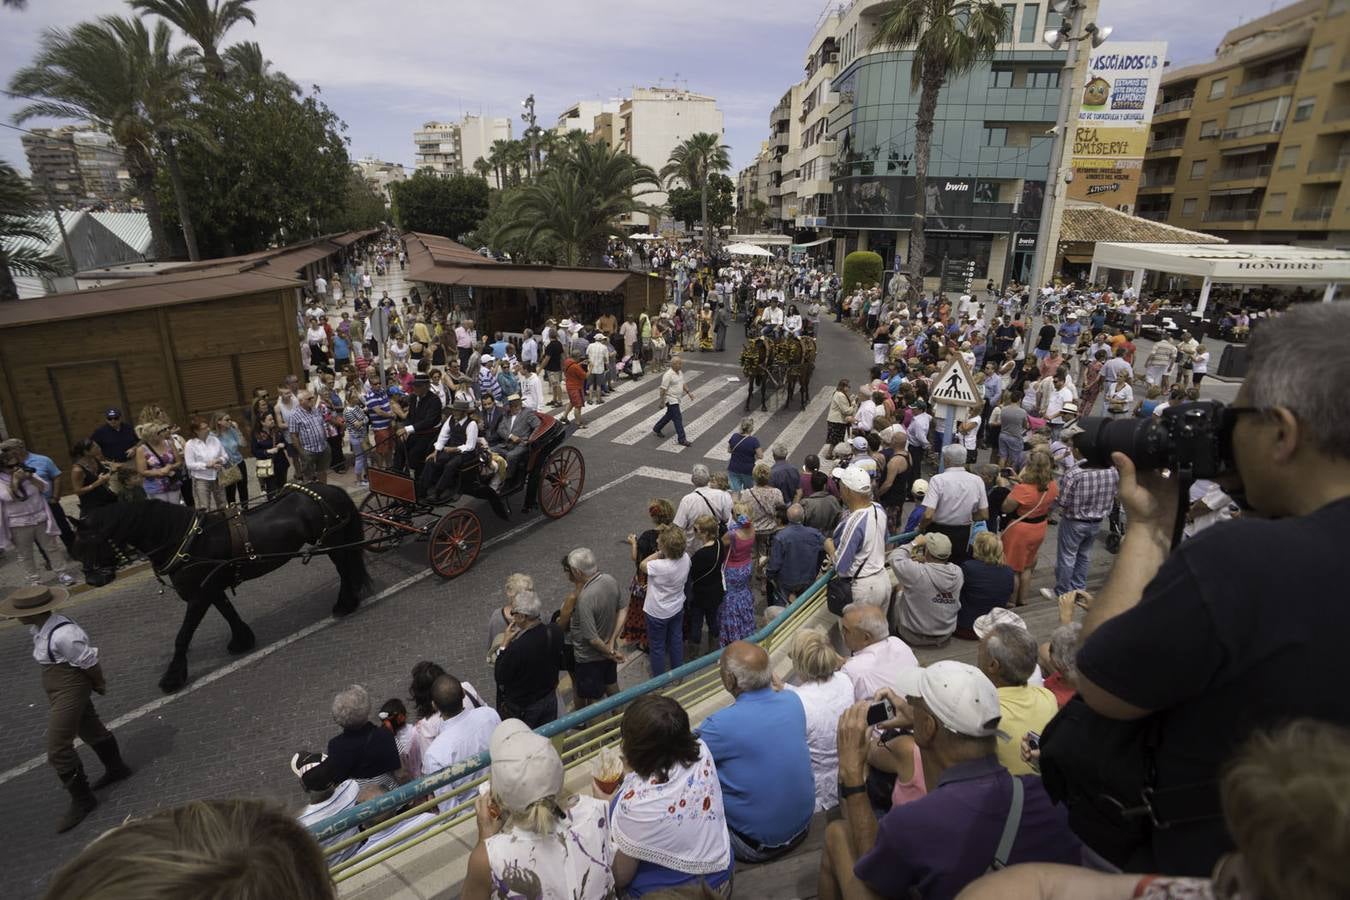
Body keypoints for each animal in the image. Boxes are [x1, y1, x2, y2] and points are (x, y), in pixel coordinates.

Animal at [73, 488, 369, 696]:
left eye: (92, 541)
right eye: (77, 545)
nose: (92, 579)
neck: (186, 540)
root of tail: (330, 489)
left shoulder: (198, 596)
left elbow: (183, 635)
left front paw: (173, 676)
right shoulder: (210, 588)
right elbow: (228, 612)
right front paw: (242, 640)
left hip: (332, 541)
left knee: (345, 569)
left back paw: (346, 603)